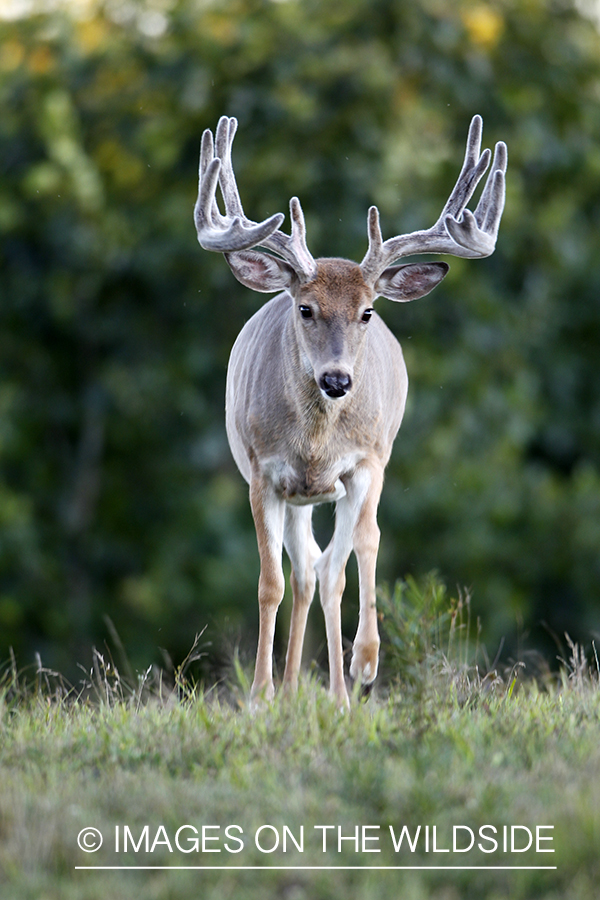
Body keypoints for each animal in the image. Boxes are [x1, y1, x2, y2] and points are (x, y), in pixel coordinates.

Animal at [193, 112, 506, 708]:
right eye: (305, 308)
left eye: (366, 312)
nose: (337, 380)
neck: (316, 444)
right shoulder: (263, 472)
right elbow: (272, 581)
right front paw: (261, 695)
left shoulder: (364, 464)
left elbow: (352, 558)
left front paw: (360, 668)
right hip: (300, 496)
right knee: (306, 570)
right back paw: (294, 689)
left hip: (370, 466)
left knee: (348, 554)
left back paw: (347, 682)